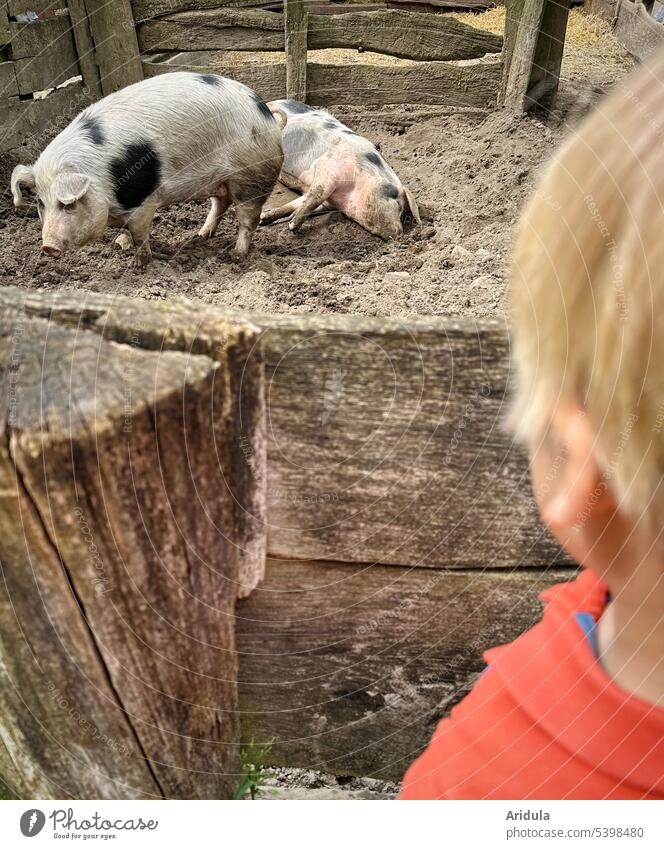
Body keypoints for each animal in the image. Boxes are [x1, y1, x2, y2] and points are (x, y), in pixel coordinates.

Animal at [10, 72, 284, 264]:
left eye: (67, 204)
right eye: (40, 203)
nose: (48, 247)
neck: (101, 175)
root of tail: (265, 112)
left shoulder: (142, 201)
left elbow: (140, 234)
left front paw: (138, 264)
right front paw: (124, 246)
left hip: (251, 177)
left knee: (248, 219)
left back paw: (236, 255)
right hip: (221, 180)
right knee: (220, 204)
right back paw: (200, 235)